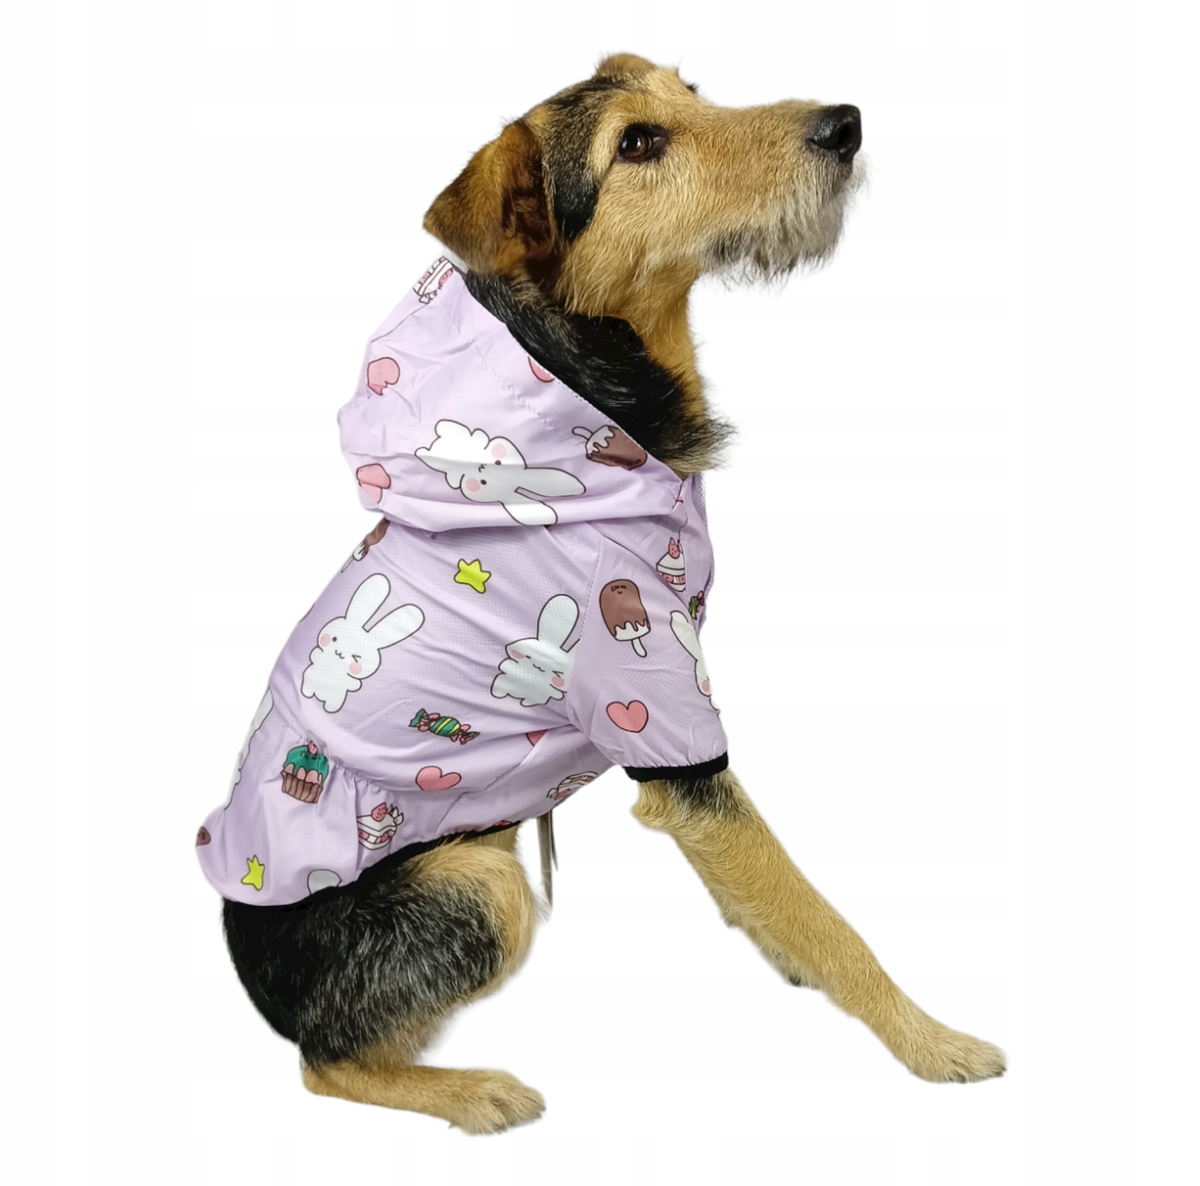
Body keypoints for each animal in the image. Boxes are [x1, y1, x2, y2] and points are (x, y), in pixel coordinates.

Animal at [301, 573, 424, 713]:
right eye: (334, 639)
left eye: (356, 658)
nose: (340, 653)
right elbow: (315, 656)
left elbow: (353, 684)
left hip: (335, 699)